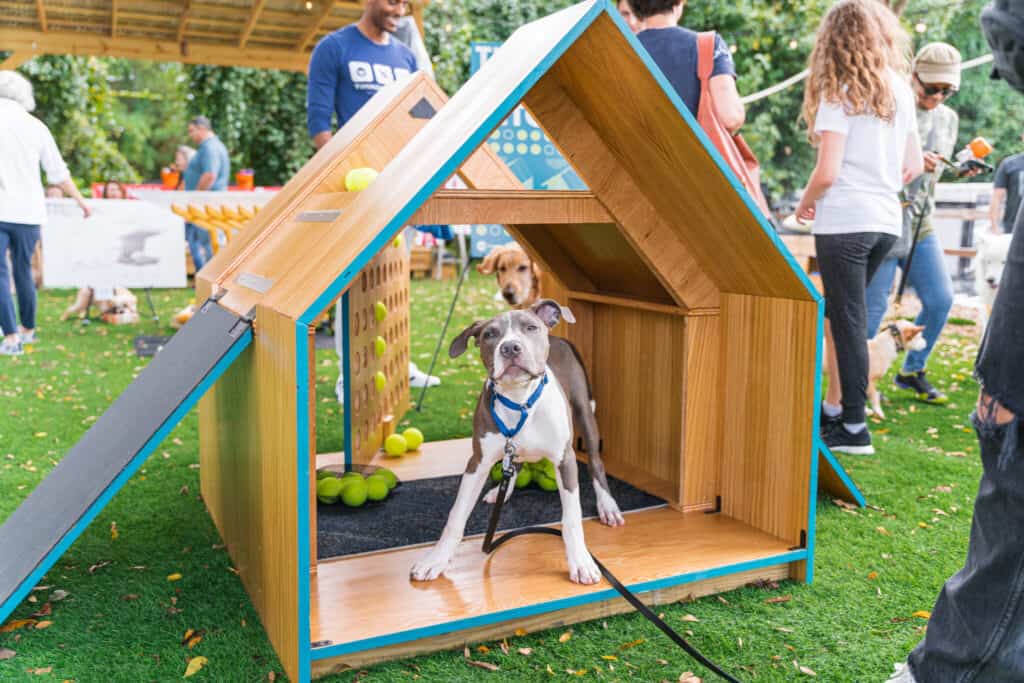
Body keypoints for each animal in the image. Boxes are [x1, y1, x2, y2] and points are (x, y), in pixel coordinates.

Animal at [409, 301, 622, 589]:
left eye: (530, 328)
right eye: (489, 334)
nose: (510, 347)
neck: (519, 399)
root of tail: (558, 337)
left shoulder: (564, 458)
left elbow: (572, 518)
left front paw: (581, 562)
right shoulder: (477, 461)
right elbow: (456, 515)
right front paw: (436, 560)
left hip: (584, 411)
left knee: (596, 462)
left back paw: (607, 505)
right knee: (515, 465)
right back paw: (501, 490)